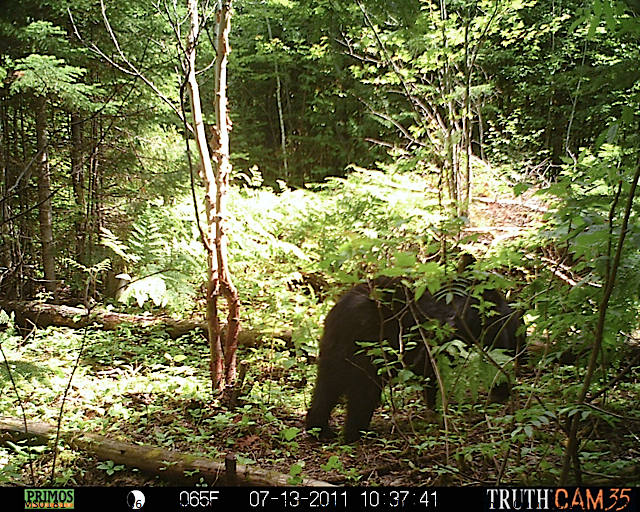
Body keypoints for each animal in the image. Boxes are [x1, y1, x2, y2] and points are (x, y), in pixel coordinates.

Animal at [306, 276, 524, 440]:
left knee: (325, 389)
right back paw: (358, 432)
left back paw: (319, 429)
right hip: (368, 350)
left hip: (333, 352)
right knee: (363, 392)